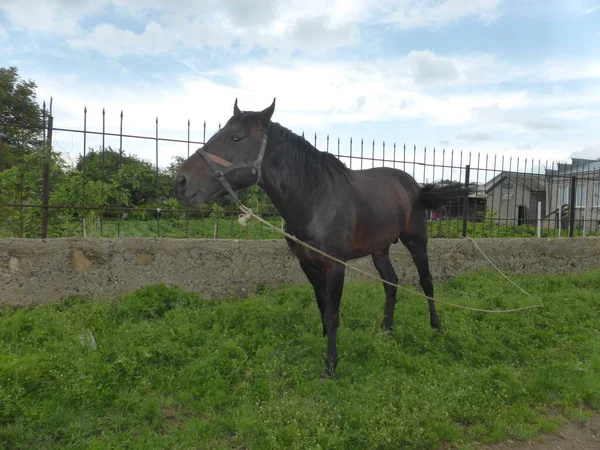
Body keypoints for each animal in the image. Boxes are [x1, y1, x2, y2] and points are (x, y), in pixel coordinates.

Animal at [173, 100, 474, 378]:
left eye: (235, 138)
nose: (181, 182)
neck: (315, 198)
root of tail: (415, 186)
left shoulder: (335, 265)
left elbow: (332, 313)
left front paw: (331, 365)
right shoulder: (307, 263)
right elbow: (322, 306)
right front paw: (324, 343)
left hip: (416, 242)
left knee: (426, 282)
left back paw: (435, 325)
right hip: (379, 249)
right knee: (391, 283)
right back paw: (386, 329)